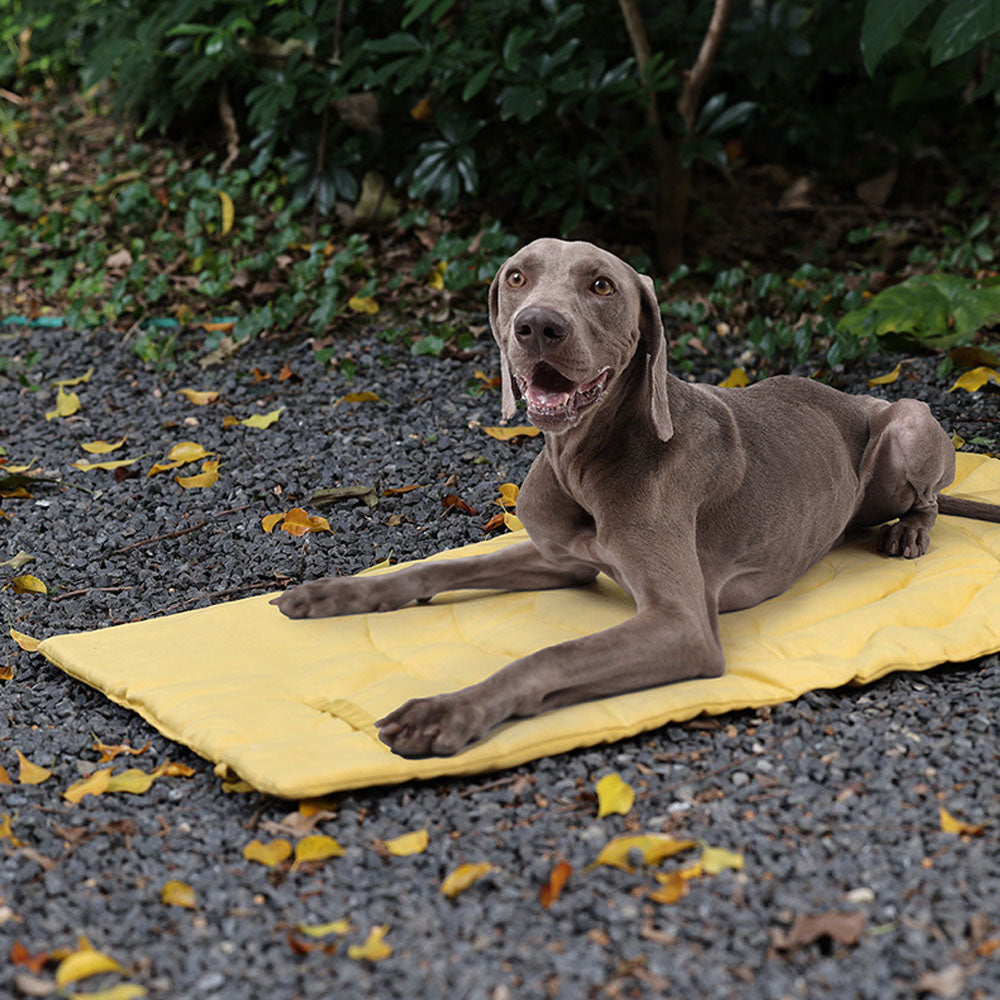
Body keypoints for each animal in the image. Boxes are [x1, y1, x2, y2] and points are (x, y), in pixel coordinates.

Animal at [272, 238, 1000, 752]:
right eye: (517, 277)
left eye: (601, 285)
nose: (537, 326)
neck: (586, 458)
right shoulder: (560, 560)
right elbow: (438, 570)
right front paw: (331, 595)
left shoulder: (682, 625)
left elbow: (553, 654)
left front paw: (449, 710)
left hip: (908, 420)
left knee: (931, 496)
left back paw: (908, 531)